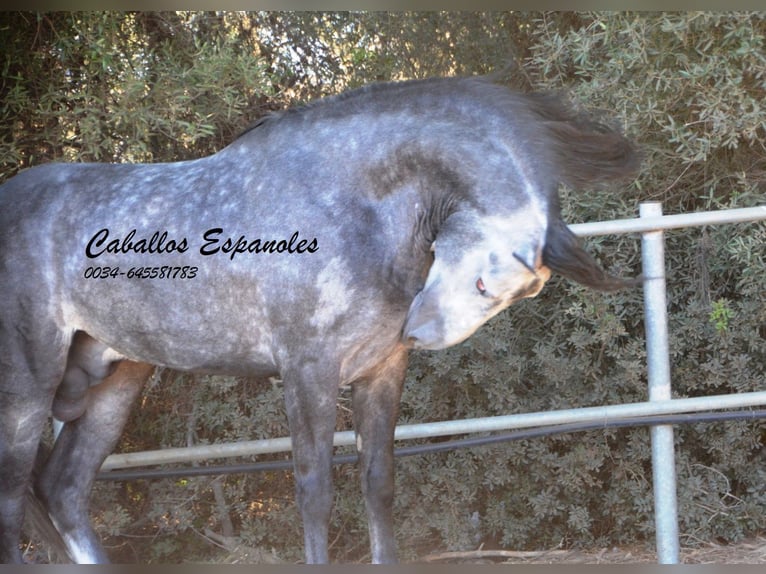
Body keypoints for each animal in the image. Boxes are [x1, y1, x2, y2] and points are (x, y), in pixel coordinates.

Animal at [0, 74, 636, 564]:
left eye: (516, 294)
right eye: (485, 283)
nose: (416, 331)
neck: (353, 203)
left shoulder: (380, 372)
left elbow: (378, 485)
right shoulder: (308, 369)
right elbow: (316, 491)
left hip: (115, 378)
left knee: (64, 491)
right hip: (27, 393)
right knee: (13, 505)